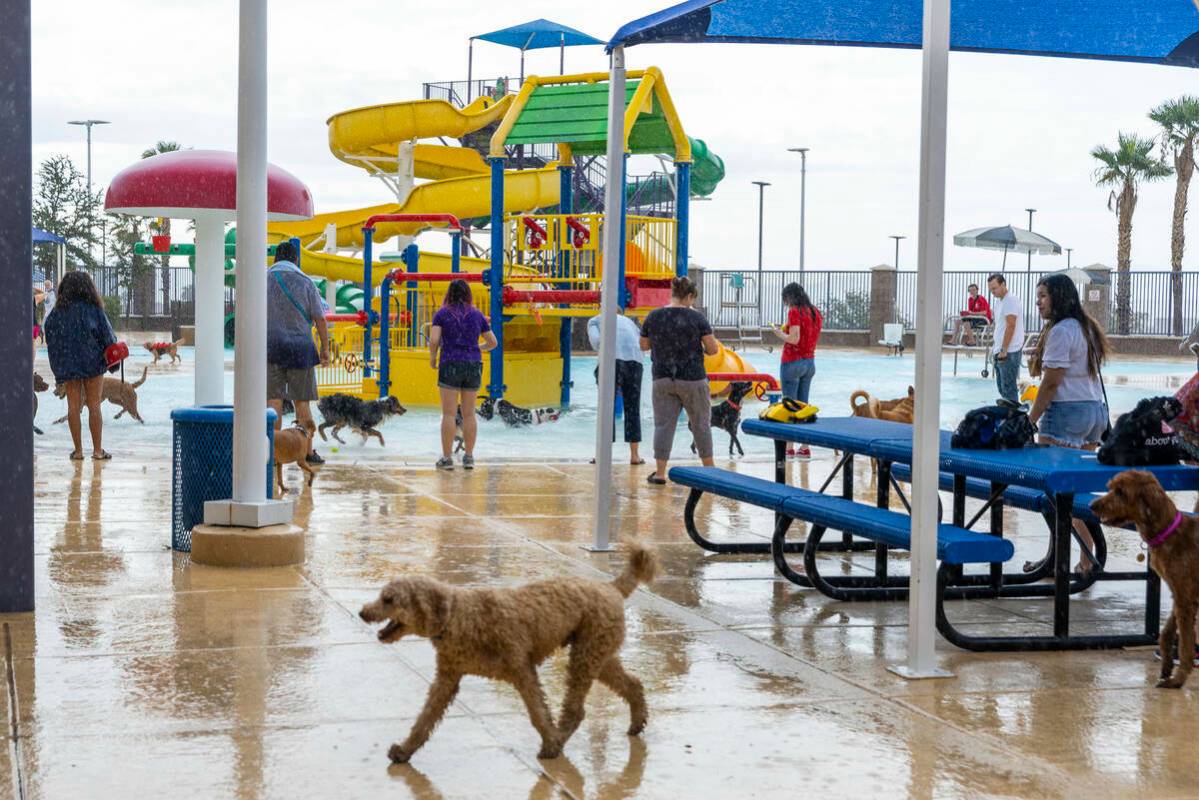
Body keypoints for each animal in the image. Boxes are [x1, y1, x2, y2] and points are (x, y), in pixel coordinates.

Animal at [357, 544, 657, 762]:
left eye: (388, 600)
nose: (363, 612)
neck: (457, 617)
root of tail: (610, 586)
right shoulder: (447, 679)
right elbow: (424, 719)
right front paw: (405, 750)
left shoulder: (522, 670)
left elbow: (537, 712)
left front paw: (550, 742)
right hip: (597, 655)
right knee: (632, 684)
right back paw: (636, 723)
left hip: (586, 655)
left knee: (577, 710)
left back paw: (559, 740)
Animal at [1093, 470, 1194, 690]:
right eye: (1111, 487)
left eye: (1121, 492)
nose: (1092, 506)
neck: (1168, 531)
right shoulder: (1179, 595)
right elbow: (1166, 634)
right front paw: (1166, 667)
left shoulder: (1186, 598)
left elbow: (1186, 644)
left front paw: (1177, 680)